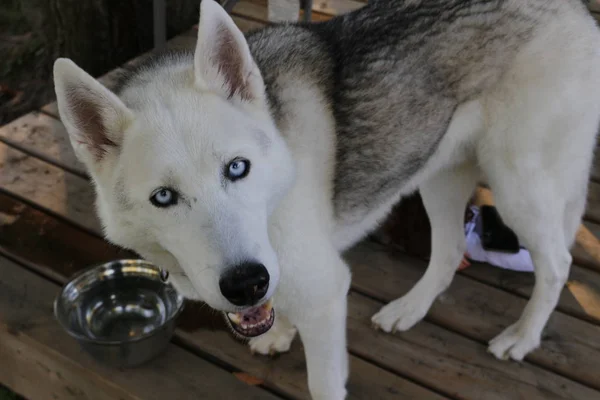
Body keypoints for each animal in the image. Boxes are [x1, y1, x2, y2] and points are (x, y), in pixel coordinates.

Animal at [52, 1, 600, 398]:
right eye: (163, 196)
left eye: (237, 168)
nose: (246, 284)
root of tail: (574, 9)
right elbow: (281, 306)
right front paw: (278, 332)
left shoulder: (325, 292)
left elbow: (322, 380)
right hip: (440, 177)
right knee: (447, 254)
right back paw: (409, 309)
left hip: (517, 187)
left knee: (557, 263)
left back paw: (523, 337)